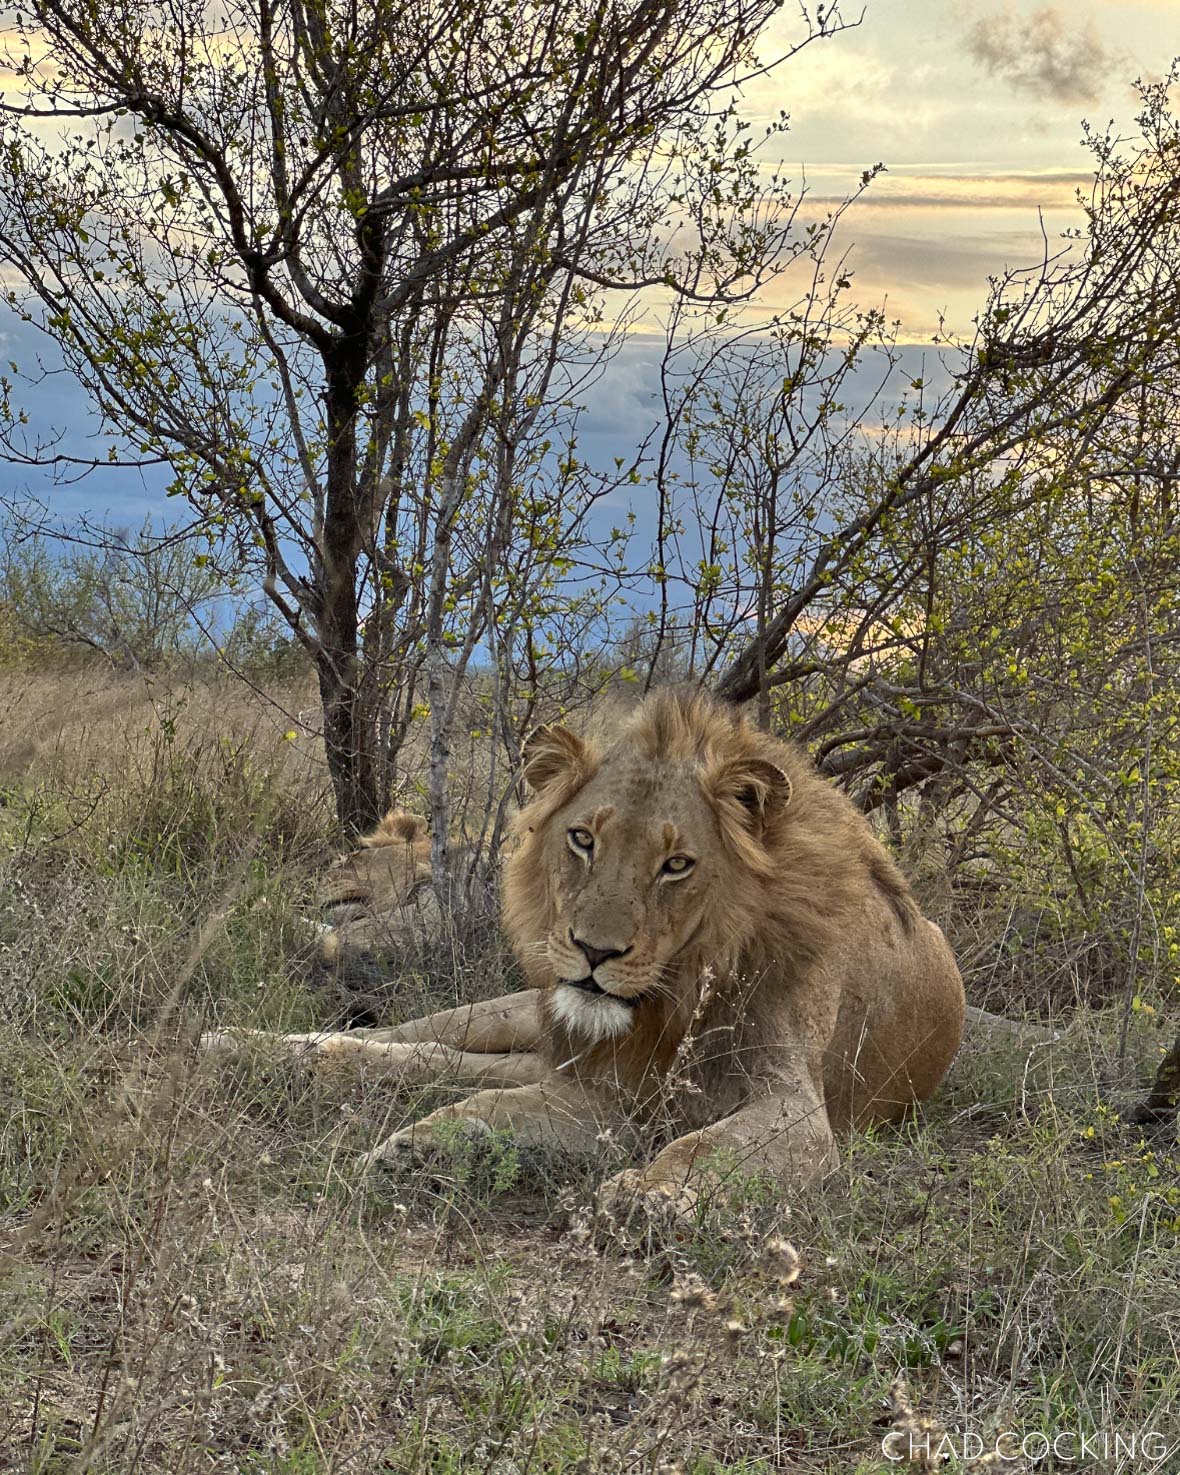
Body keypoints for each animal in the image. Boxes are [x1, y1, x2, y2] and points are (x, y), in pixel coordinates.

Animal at [210, 689, 965, 1214]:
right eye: (582, 839)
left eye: (676, 864)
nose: (593, 951)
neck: (680, 991)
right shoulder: (610, 1092)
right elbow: (490, 1107)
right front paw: (413, 1148)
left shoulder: (796, 1110)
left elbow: (704, 1145)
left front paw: (650, 1195)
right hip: (514, 1014)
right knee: (409, 1046)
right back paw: (254, 1045)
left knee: (452, 1067)